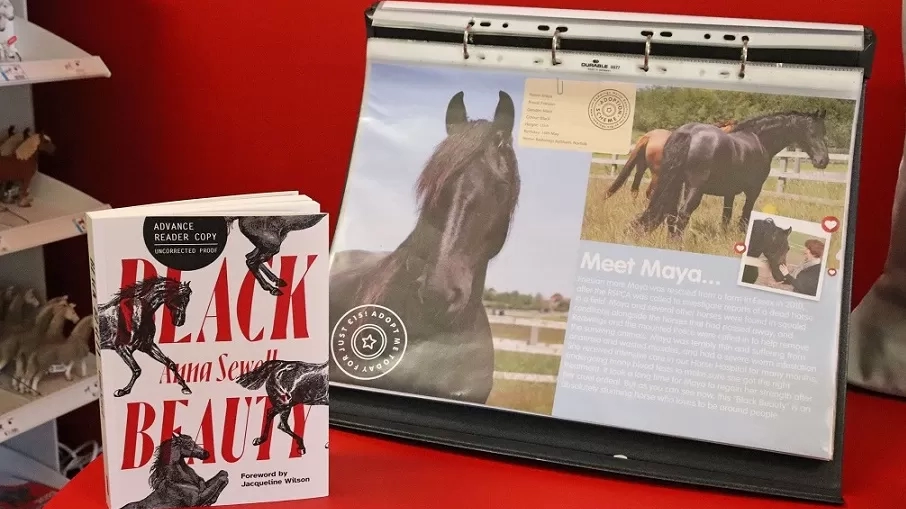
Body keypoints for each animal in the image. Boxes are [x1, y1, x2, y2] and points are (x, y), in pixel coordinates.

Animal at [628, 109, 828, 236]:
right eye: (812, 132)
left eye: (824, 132)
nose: (823, 161)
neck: (760, 139)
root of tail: (689, 133)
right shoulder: (753, 191)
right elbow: (745, 216)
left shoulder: (729, 193)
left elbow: (726, 217)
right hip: (694, 189)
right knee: (682, 215)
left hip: (674, 184)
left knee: (669, 213)